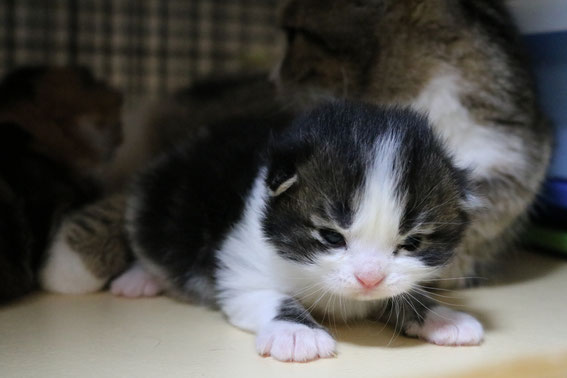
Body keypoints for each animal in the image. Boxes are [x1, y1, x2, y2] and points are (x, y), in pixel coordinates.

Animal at [113, 102, 486, 362]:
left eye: (412, 242)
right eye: (331, 236)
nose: (369, 279)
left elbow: (405, 294)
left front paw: (442, 317)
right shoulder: (242, 267)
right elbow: (269, 295)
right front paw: (295, 333)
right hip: (155, 203)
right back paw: (138, 279)